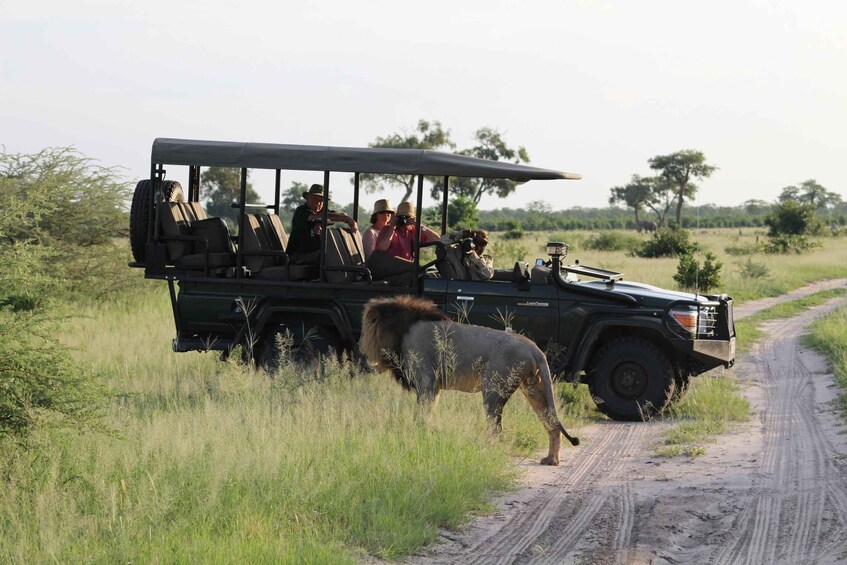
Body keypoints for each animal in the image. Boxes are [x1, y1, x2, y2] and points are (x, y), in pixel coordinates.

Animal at [362, 296, 580, 462]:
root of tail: (534, 348)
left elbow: (422, 415)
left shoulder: (427, 382)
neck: (402, 330)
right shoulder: (434, 387)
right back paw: (551, 460)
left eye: (365, 331)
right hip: (535, 390)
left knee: (496, 427)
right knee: (551, 424)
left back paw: (485, 450)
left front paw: (420, 435)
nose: (361, 347)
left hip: (493, 388)